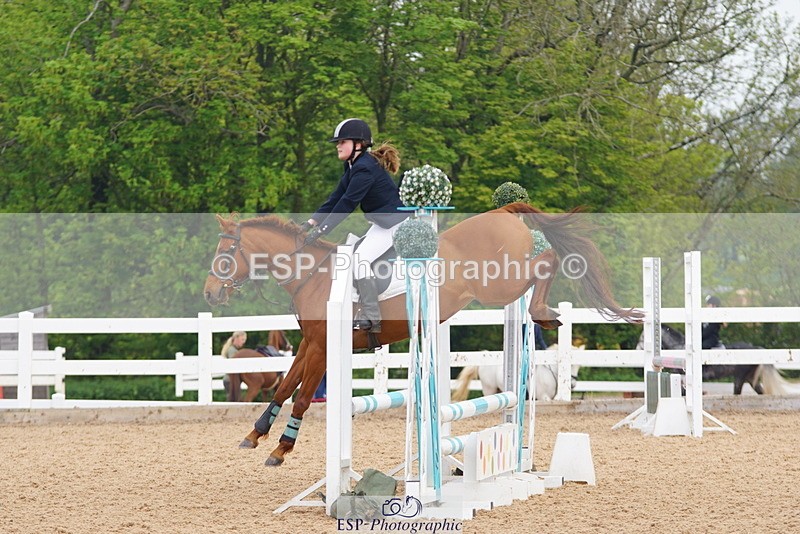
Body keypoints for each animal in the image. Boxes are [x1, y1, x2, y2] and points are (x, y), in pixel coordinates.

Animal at [204, 203, 643, 466]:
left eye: (225, 254)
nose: (209, 293)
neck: (311, 273)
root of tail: (502, 209)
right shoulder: (311, 344)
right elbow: (283, 387)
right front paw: (255, 435)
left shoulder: (325, 348)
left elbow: (303, 397)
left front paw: (282, 448)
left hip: (498, 285)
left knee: (548, 259)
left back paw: (543, 313)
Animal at [637, 324, 796, 395]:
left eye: (642, 338)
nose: (637, 349)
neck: (679, 347)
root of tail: (755, 349)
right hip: (751, 378)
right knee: (760, 391)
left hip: (740, 377)